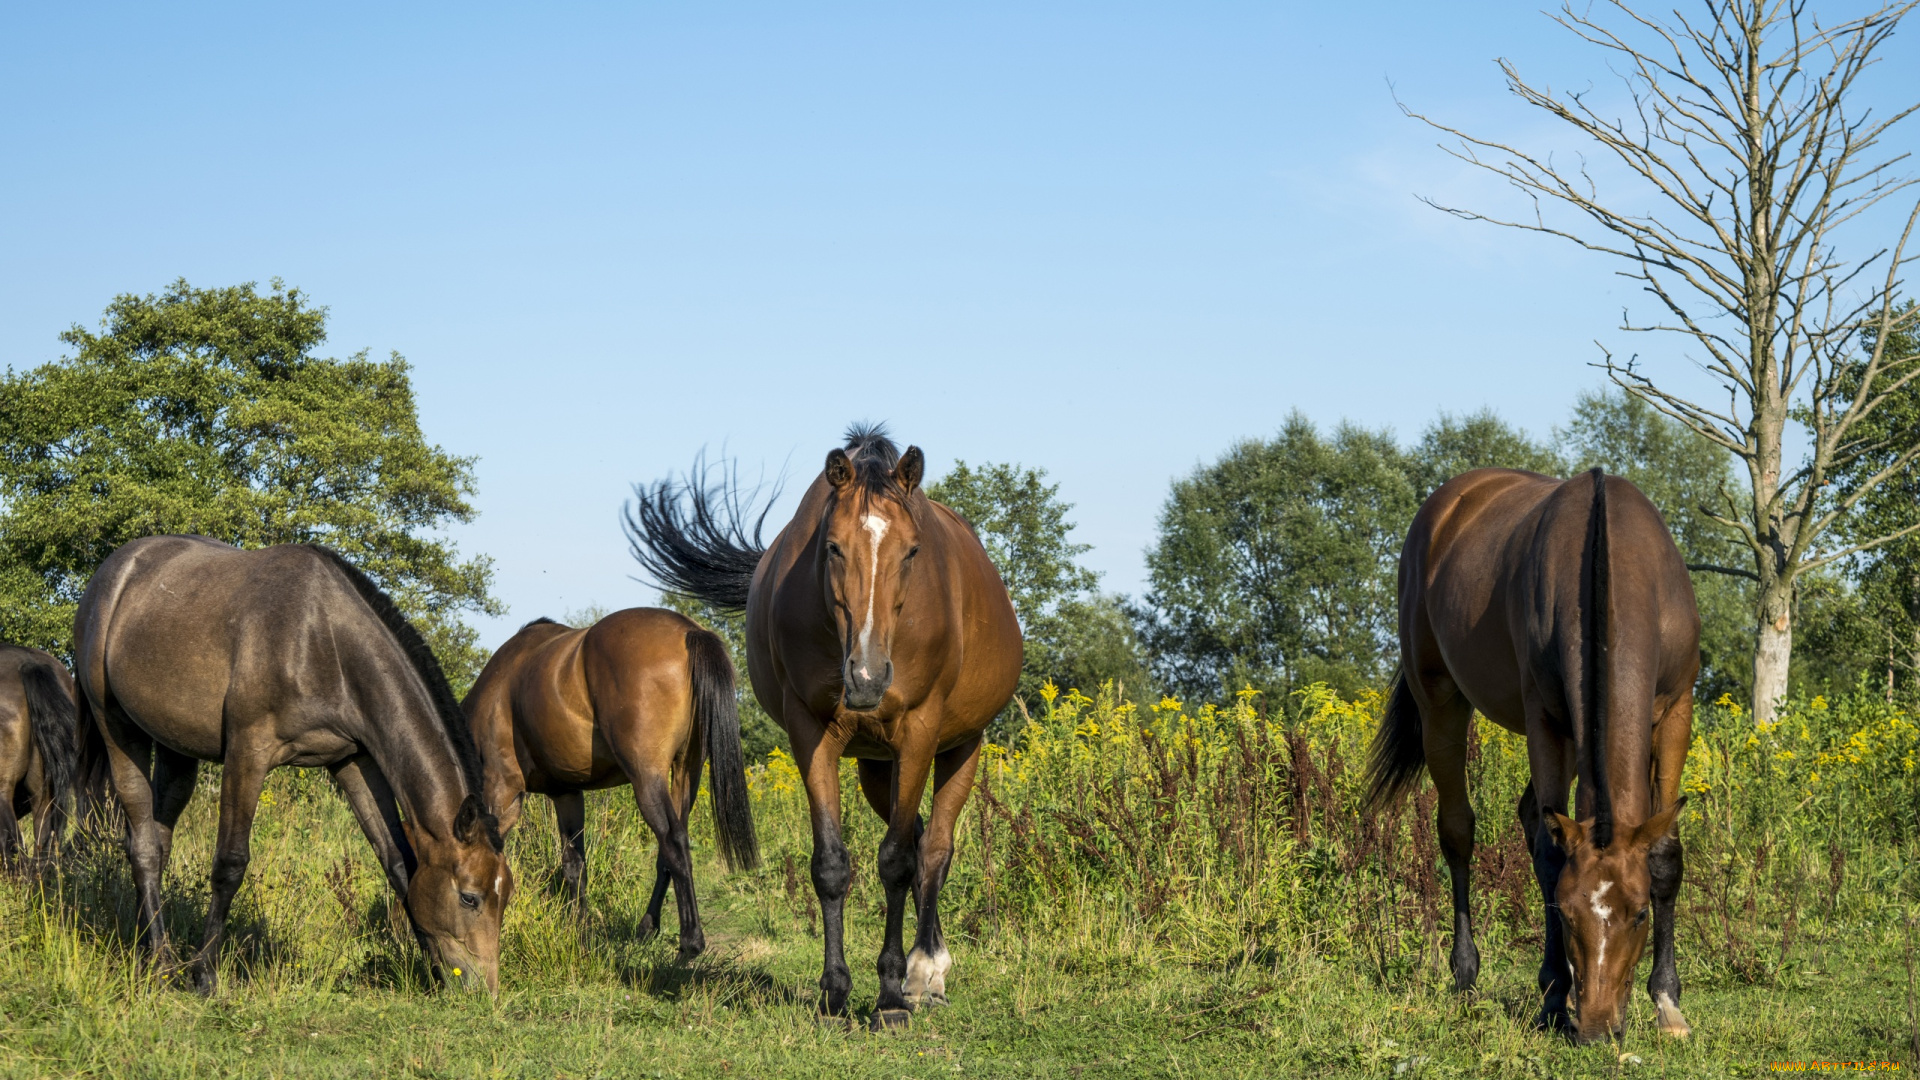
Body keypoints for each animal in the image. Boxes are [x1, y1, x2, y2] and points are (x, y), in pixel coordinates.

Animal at [73, 534, 514, 991]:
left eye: (507, 895)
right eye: (470, 897)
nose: (484, 990)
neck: (325, 641)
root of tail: (115, 570)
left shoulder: (353, 761)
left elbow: (397, 862)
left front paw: (430, 966)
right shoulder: (248, 753)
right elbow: (230, 863)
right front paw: (205, 974)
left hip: (176, 747)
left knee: (158, 841)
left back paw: (149, 949)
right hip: (117, 728)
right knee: (143, 845)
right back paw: (161, 962)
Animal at [462, 607, 756, 957]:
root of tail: (688, 631)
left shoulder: (502, 789)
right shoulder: (567, 793)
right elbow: (574, 865)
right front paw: (579, 932)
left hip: (647, 777)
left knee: (673, 841)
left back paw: (690, 942)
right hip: (687, 771)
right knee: (669, 847)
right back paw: (647, 927)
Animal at [625, 420, 1021, 1022]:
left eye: (913, 551)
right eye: (833, 547)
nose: (867, 676)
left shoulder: (920, 732)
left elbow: (898, 863)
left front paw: (890, 995)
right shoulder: (811, 733)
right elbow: (833, 864)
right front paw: (836, 988)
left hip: (961, 746)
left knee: (935, 850)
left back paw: (926, 969)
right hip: (879, 768)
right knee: (920, 836)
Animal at [1367, 468, 1697, 1045]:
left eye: (1638, 915)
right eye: (1564, 915)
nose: (1597, 1028)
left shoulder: (1678, 709)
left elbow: (1665, 855)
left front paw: (1667, 1000)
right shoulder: (1544, 718)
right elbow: (1547, 854)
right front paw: (1552, 998)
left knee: (1526, 813)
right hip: (1440, 701)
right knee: (1458, 830)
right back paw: (1466, 973)